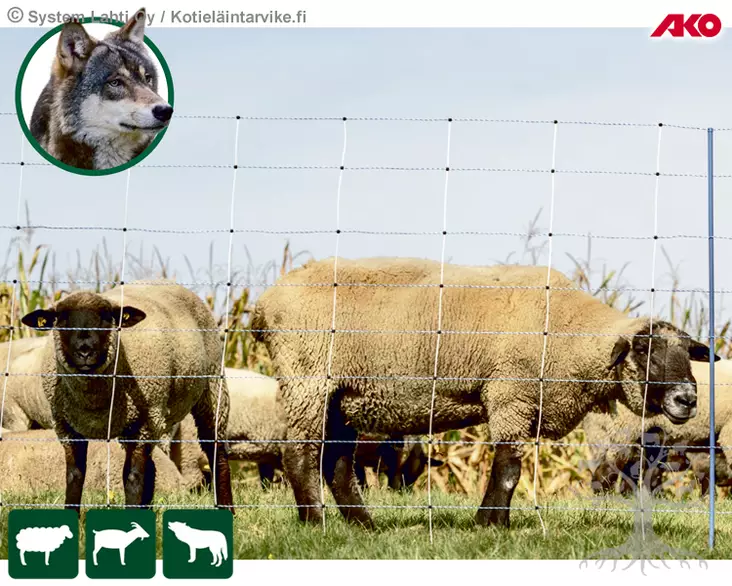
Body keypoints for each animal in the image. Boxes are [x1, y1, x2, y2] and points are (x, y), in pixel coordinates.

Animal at [20, 281, 234, 512]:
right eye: (62, 319)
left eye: (106, 317)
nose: (85, 351)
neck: (93, 402)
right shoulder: (66, 427)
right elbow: (74, 476)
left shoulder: (143, 423)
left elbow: (132, 477)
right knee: (151, 467)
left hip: (211, 388)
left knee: (216, 452)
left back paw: (227, 509)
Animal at [251, 257, 717, 529]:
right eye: (644, 351)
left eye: (688, 353)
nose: (688, 399)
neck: (568, 334)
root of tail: (264, 303)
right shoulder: (511, 395)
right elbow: (508, 467)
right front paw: (490, 524)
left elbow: (510, 467)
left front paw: (493, 521)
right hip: (307, 377)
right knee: (300, 454)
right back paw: (314, 522)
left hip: (344, 395)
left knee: (337, 464)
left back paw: (362, 525)